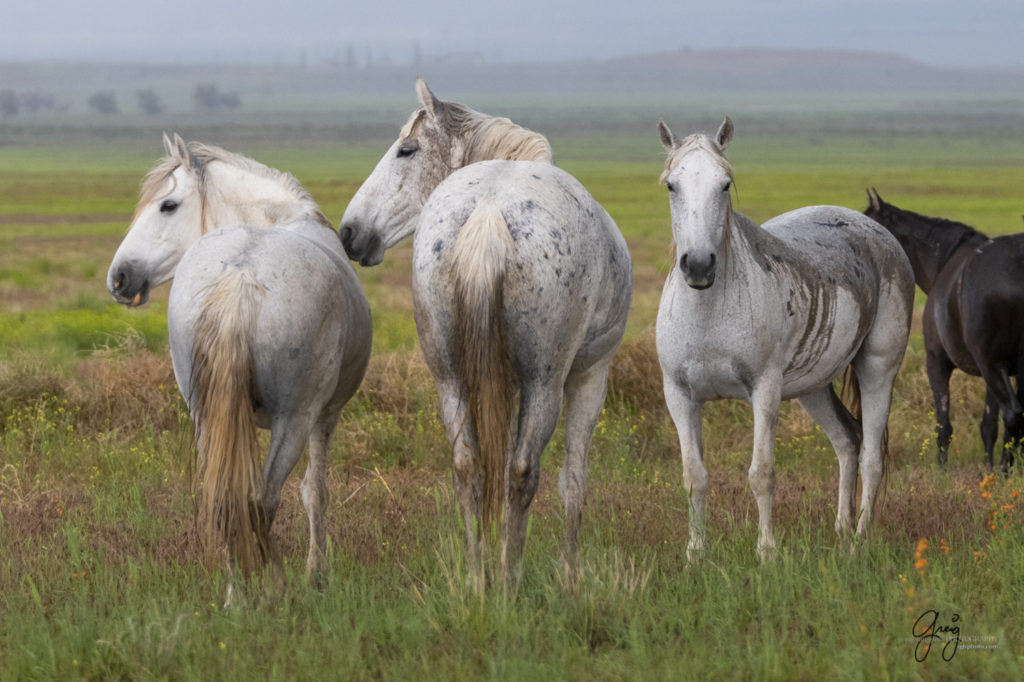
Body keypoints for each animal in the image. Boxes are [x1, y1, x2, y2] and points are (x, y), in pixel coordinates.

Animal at [107, 134, 372, 585]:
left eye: (167, 205)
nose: (119, 277)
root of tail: (242, 273)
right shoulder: (325, 414)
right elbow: (315, 493)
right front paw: (316, 573)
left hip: (209, 415)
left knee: (227, 503)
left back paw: (237, 591)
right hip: (294, 420)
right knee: (263, 502)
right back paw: (274, 586)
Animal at [339, 78, 630, 577]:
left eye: (407, 150)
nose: (349, 233)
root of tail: (489, 212)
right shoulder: (590, 377)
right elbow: (573, 481)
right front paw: (570, 575)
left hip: (450, 377)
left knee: (469, 467)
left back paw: (479, 575)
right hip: (544, 384)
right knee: (522, 472)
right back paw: (508, 578)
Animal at [659, 118, 917, 557]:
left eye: (725, 184)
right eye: (671, 186)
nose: (698, 265)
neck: (709, 313)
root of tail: (873, 228)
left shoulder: (764, 391)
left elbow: (761, 473)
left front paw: (766, 552)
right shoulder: (679, 395)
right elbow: (694, 477)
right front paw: (696, 553)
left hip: (878, 369)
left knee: (871, 456)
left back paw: (859, 541)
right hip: (813, 387)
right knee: (847, 442)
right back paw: (841, 530)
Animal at [864, 188, 1024, 471]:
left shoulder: (938, 362)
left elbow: (943, 425)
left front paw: (942, 471)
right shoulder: (991, 374)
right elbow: (988, 425)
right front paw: (988, 469)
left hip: (992, 365)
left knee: (1013, 414)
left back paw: (1006, 470)